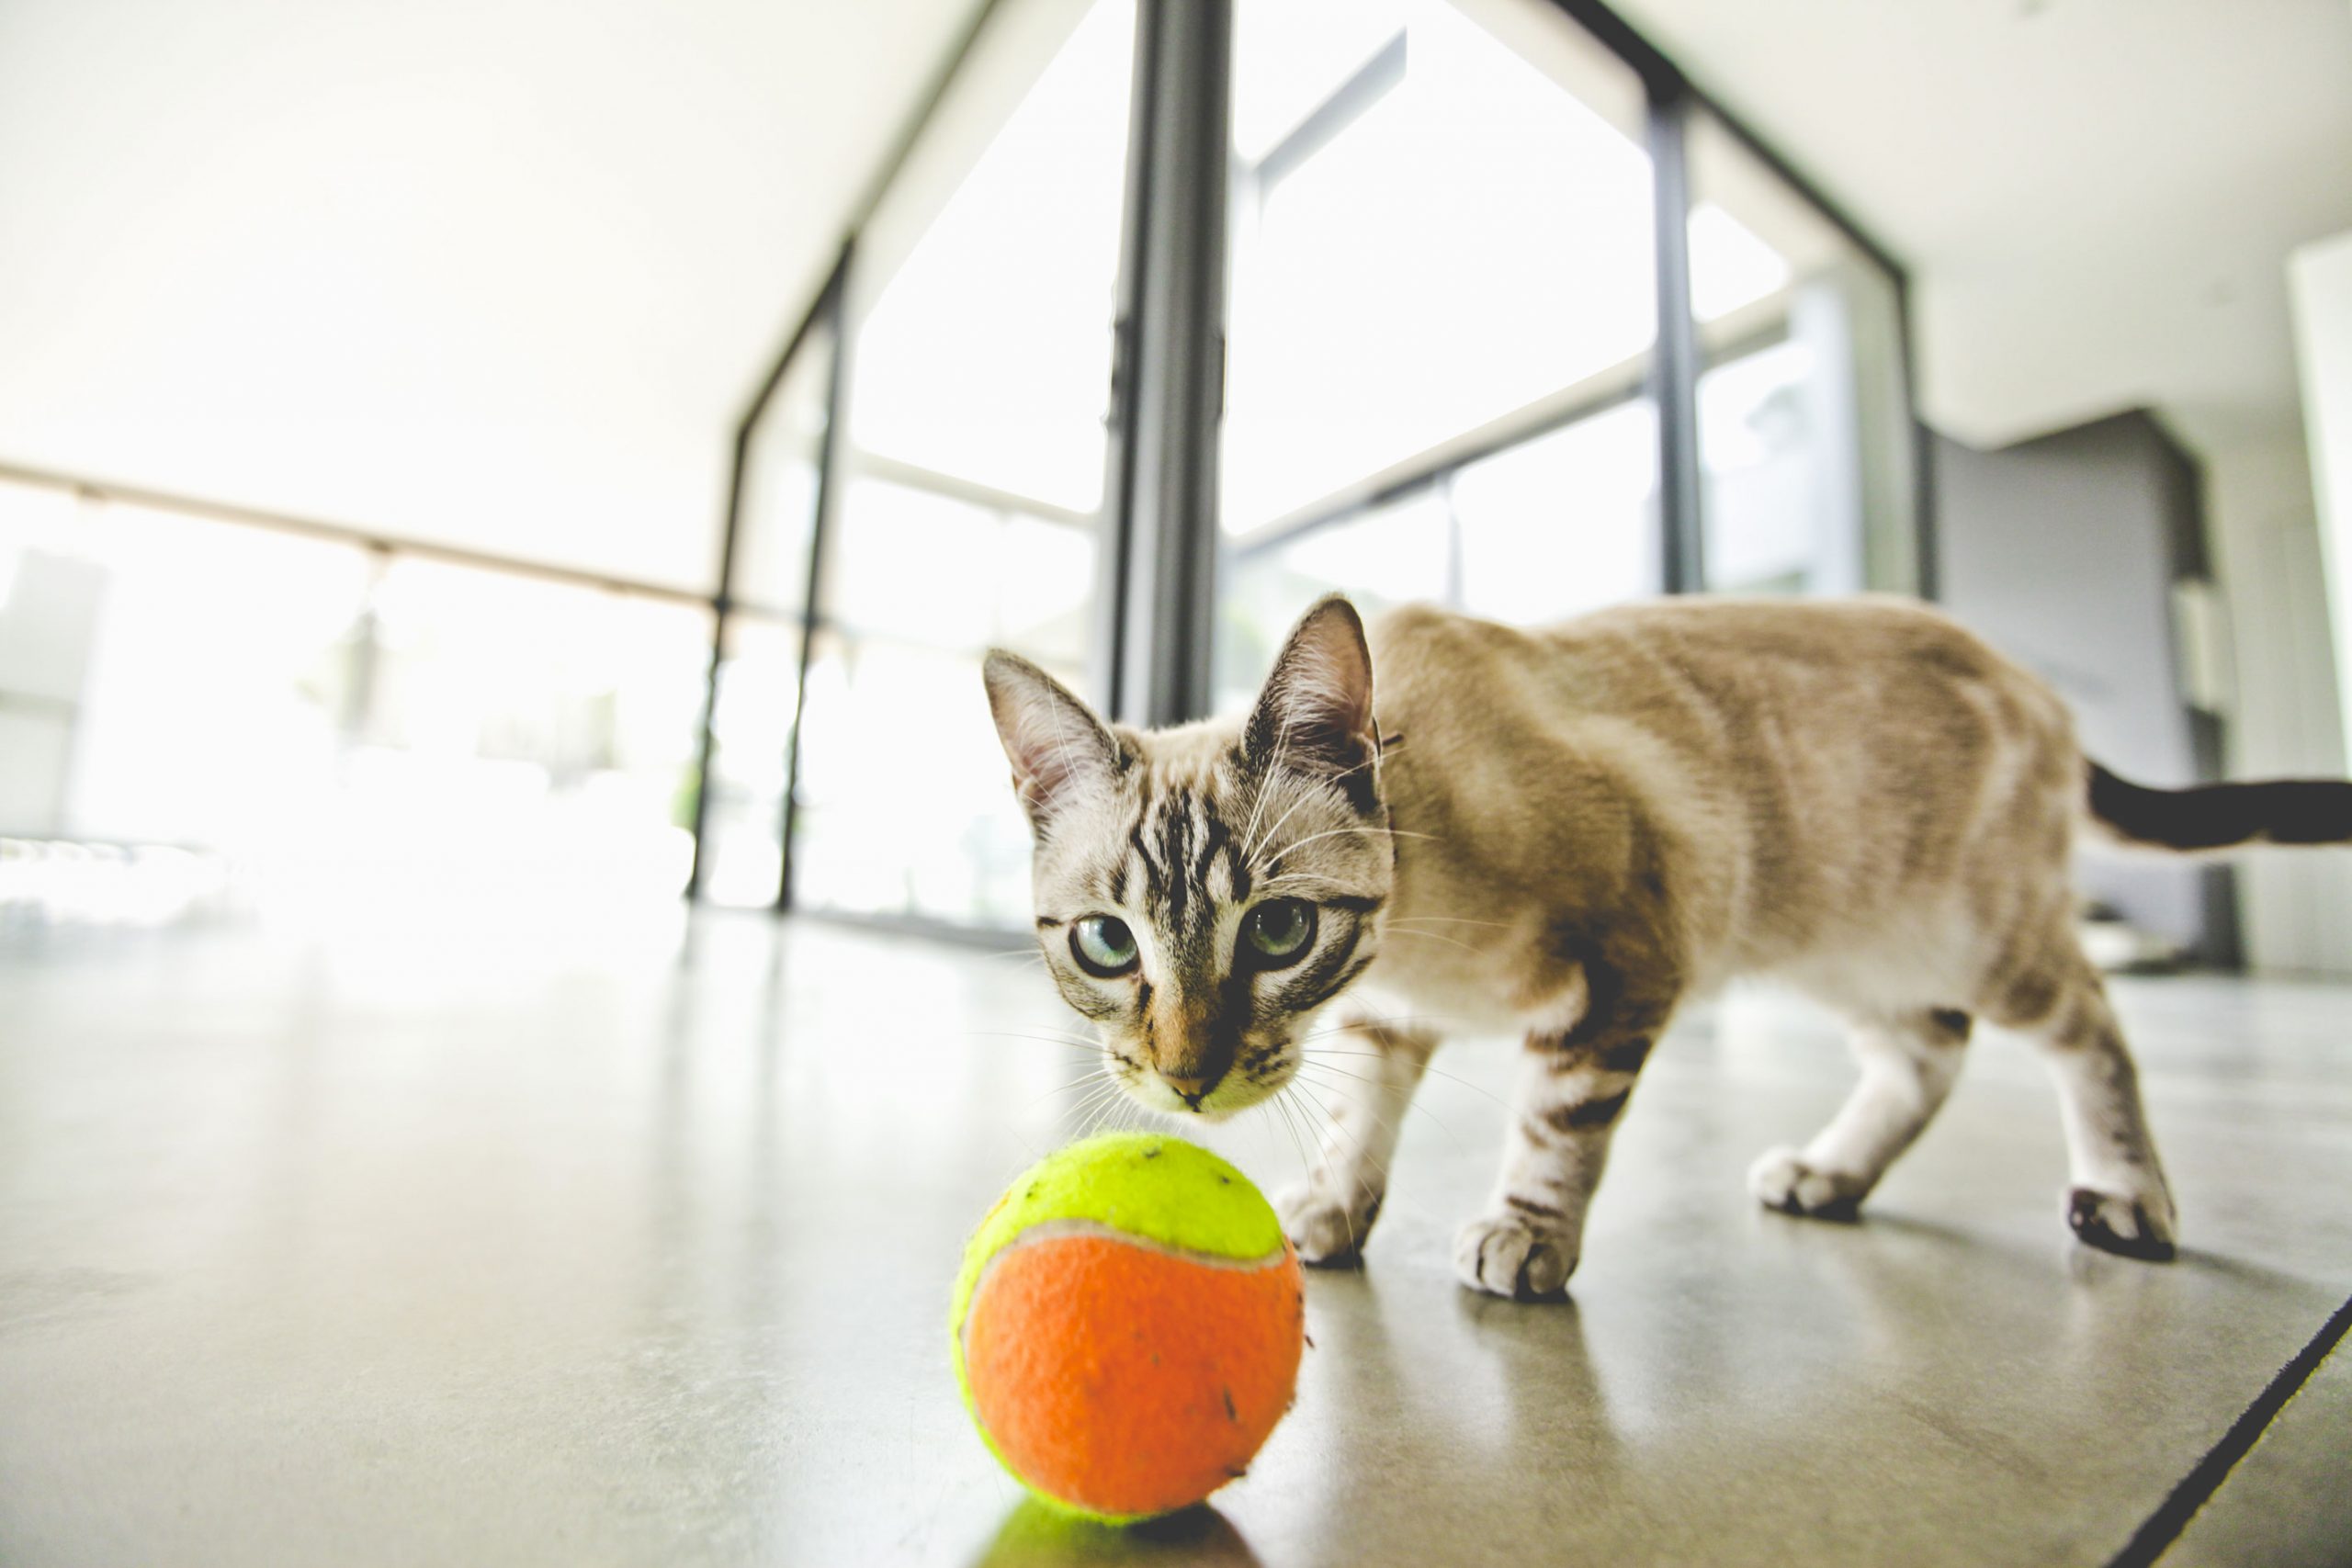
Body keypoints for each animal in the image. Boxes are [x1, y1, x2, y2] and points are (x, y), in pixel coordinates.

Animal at [982, 593, 2352, 1298]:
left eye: (1275, 928)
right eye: (1106, 944)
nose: (1186, 1079)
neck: (1419, 942)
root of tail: (2018, 669)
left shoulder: (1628, 962)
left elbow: (1555, 1127)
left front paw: (1523, 1238)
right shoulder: (1383, 1018)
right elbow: (1361, 1119)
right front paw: (1326, 1211)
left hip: (1974, 933)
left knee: (2091, 1031)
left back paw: (2125, 1195)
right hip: (1846, 943)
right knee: (1927, 1055)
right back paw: (1828, 1175)